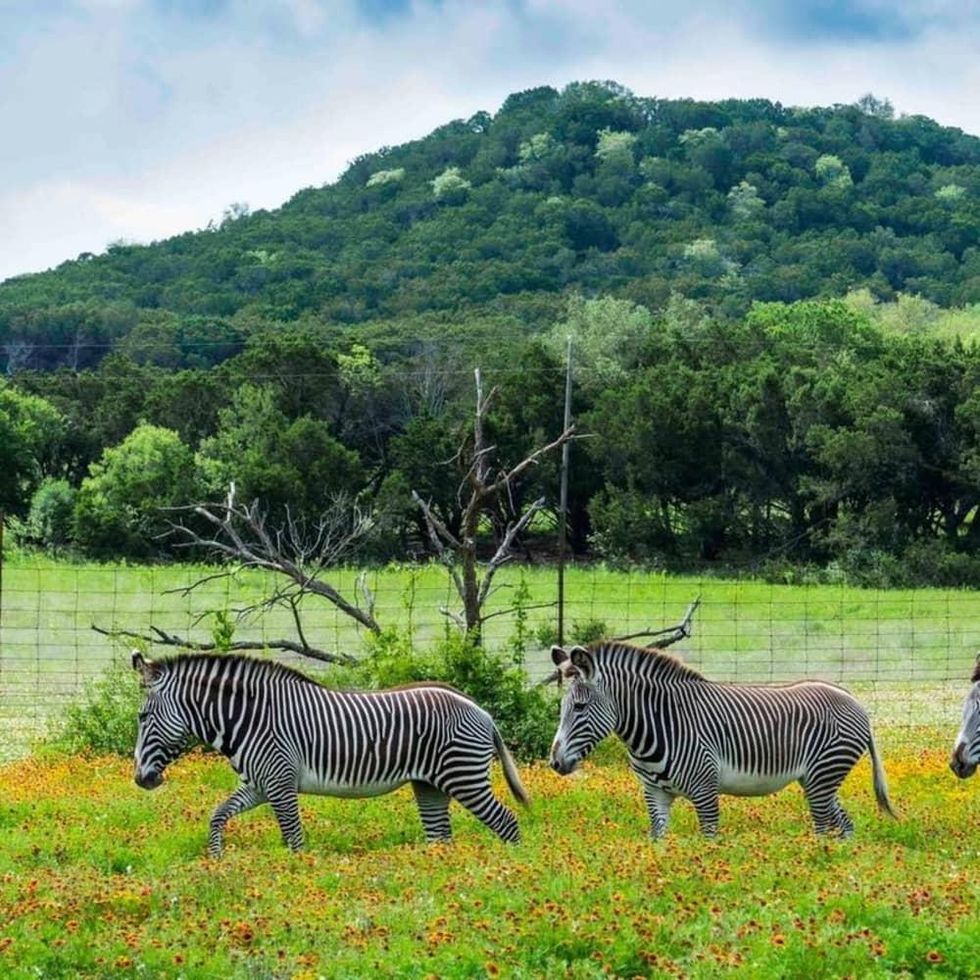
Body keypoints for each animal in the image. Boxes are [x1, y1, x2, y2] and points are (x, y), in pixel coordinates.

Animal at [131, 651, 528, 855]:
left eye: (142, 717)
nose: (140, 779)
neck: (249, 717)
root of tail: (481, 710)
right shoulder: (259, 785)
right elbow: (217, 816)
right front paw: (216, 860)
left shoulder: (280, 784)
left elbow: (294, 841)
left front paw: (295, 879)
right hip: (430, 785)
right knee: (440, 840)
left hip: (465, 778)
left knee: (507, 823)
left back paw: (511, 876)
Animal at [548, 642, 896, 839]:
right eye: (563, 707)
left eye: (579, 707)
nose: (554, 763)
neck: (658, 725)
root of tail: (852, 699)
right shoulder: (654, 794)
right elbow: (657, 843)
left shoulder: (705, 790)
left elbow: (709, 843)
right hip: (816, 779)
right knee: (845, 825)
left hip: (824, 775)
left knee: (824, 828)